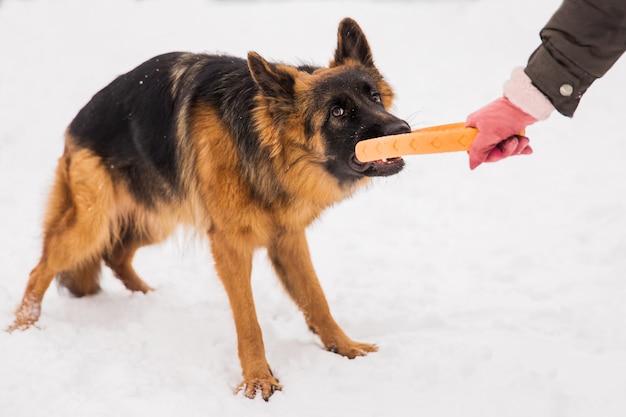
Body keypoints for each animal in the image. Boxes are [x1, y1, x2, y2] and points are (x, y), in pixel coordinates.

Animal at [11, 17, 410, 400]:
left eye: (375, 97)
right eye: (338, 111)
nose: (402, 129)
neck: (266, 147)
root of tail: (75, 125)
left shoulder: (288, 238)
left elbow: (316, 298)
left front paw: (344, 347)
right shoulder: (230, 246)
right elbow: (248, 321)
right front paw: (257, 379)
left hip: (156, 219)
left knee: (116, 254)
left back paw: (148, 297)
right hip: (92, 226)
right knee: (42, 268)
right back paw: (23, 325)